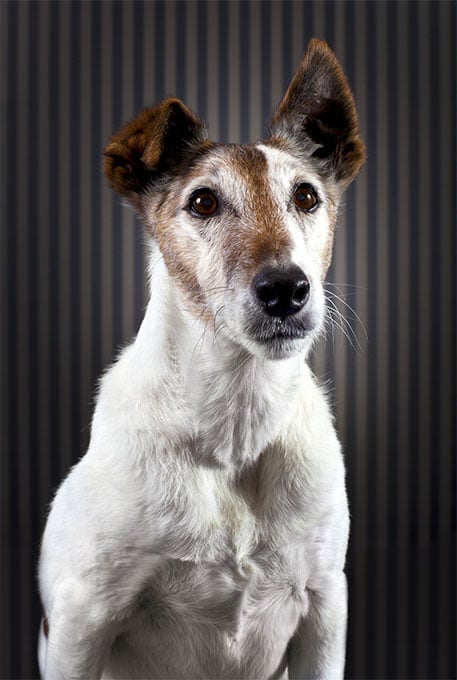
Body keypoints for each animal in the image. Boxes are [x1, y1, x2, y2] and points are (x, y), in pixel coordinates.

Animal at [39, 39, 366, 676]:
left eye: (306, 196)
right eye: (203, 202)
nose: (286, 289)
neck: (235, 425)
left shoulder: (324, 606)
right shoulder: (81, 620)